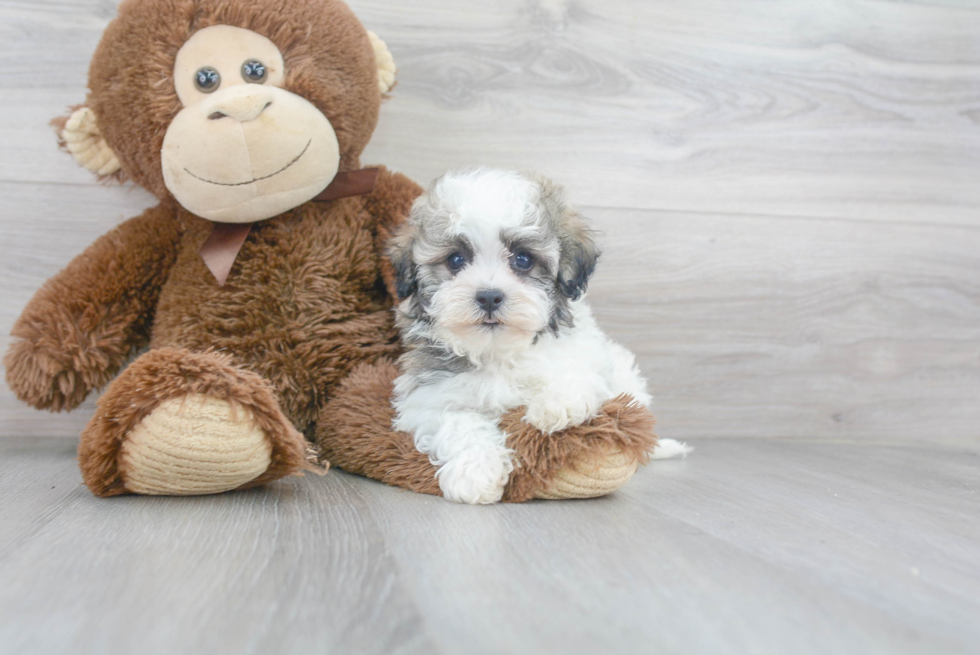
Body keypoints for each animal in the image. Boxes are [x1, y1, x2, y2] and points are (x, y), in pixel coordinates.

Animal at [386, 170, 684, 508]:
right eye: (456, 260)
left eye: (523, 259)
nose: (489, 296)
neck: (497, 350)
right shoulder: (427, 398)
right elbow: (459, 422)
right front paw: (474, 473)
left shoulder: (590, 354)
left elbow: (575, 371)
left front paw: (557, 405)